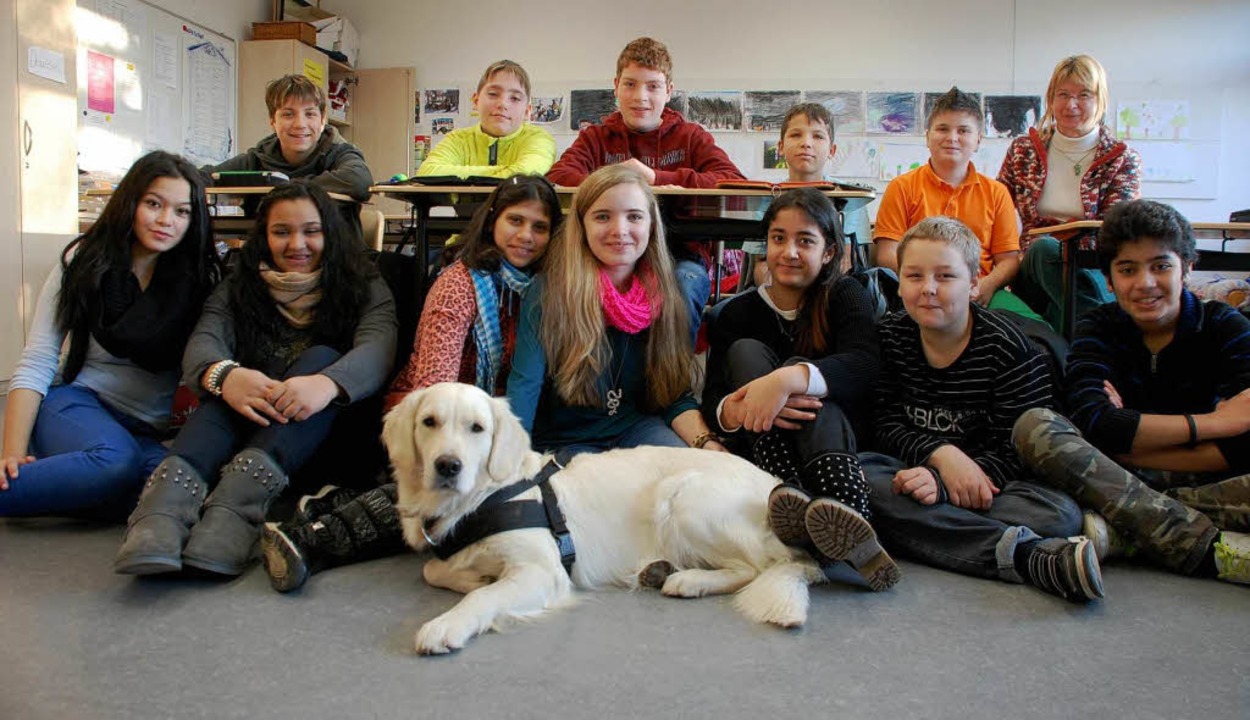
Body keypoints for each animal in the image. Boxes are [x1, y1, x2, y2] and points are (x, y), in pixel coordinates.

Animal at [385, 385, 825, 655]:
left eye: (477, 428)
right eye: (429, 422)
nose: (448, 465)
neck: (486, 495)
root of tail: (775, 486)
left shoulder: (543, 571)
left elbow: (483, 596)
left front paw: (447, 625)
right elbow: (432, 568)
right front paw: (473, 576)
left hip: (682, 496)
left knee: (757, 567)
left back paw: (688, 580)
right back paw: (662, 571)